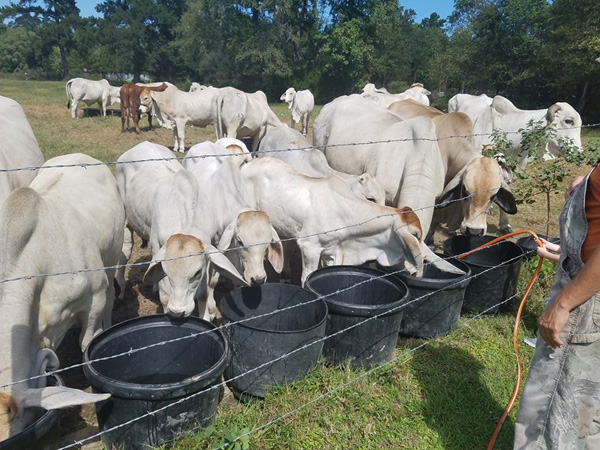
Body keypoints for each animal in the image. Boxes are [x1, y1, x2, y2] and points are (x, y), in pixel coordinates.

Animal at [116, 142, 247, 318]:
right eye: (167, 271)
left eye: (197, 272)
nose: (178, 311)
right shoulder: (157, 245)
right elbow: (165, 296)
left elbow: (204, 293)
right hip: (126, 220)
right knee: (125, 251)